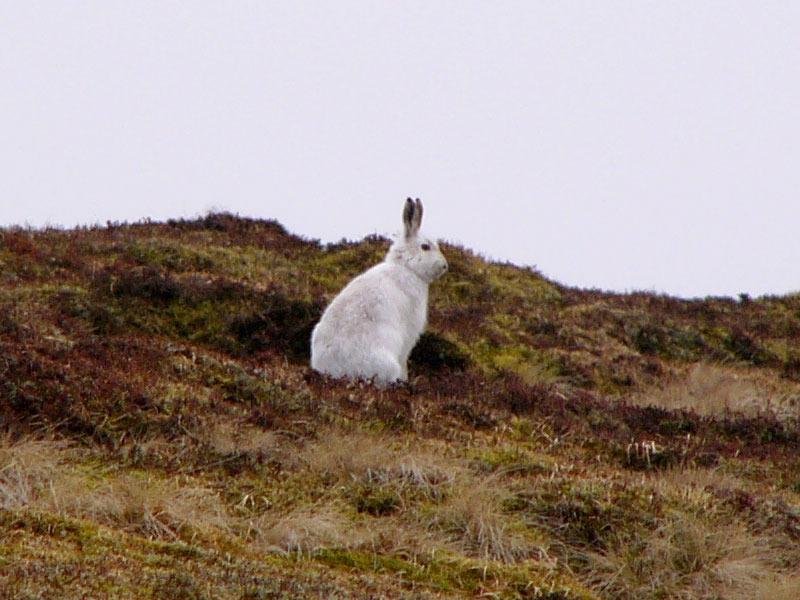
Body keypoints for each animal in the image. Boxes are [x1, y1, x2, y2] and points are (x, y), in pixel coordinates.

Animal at [310, 198, 448, 383]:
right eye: (425, 247)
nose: (444, 266)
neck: (406, 267)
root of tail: (333, 370)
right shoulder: (408, 332)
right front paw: (405, 378)